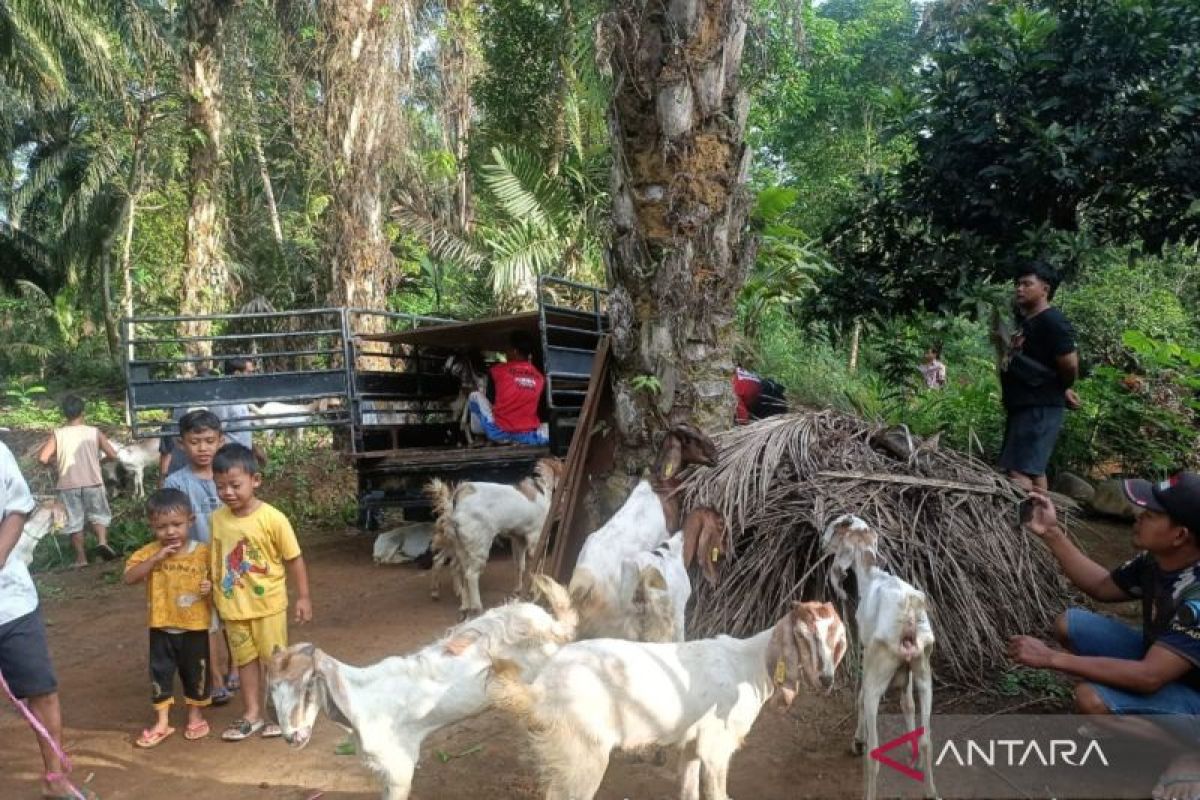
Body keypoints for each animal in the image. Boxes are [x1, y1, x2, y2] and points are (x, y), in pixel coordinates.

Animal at [268, 575, 576, 800]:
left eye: (309, 682)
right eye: (272, 689)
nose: (293, 737)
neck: (361, 700)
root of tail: (551, 625)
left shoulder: (399, 766)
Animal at [427, 455, 566, 618]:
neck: (540, 487)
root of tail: (460, 496)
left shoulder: (518, 539)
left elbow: (520, 565)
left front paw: (518, 589)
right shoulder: (535, 539)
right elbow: (536, 567)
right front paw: (535, 591)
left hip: (460, 549)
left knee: (458, 570)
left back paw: (463, 604)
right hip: (479, 548)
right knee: (471, 575)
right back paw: (476, 607)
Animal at [492, 599, 849, 800]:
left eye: (836, 638)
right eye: (802, 635)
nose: (826, 679)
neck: (750, 664)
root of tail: (541, 689)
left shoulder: (692, 744)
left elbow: (688, 792)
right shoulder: (716, 748)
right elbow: (718, 794)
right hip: (582, 754)